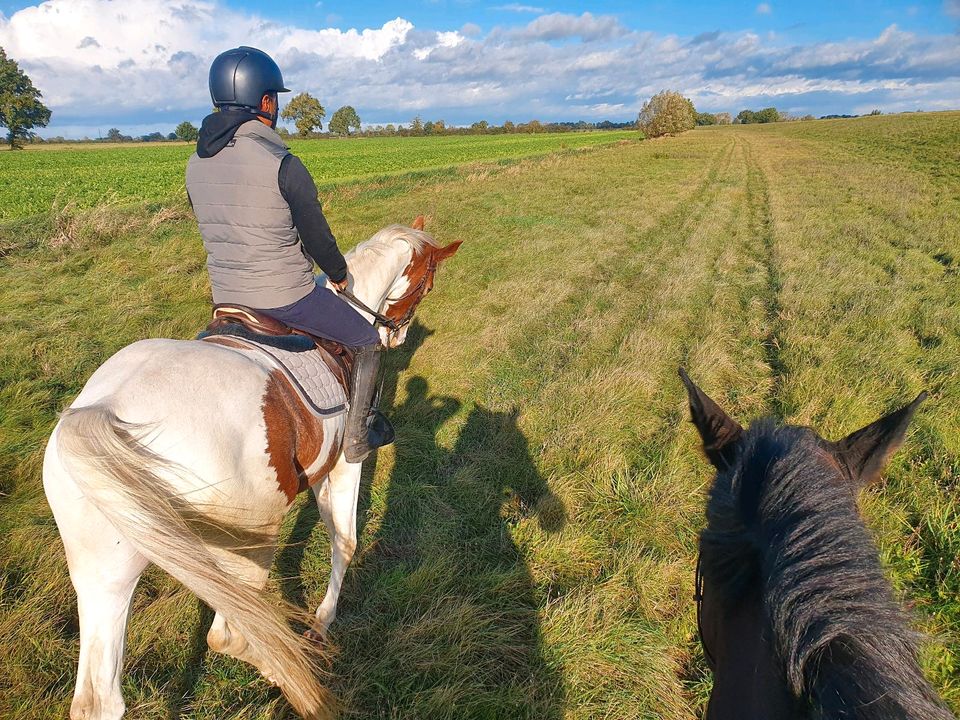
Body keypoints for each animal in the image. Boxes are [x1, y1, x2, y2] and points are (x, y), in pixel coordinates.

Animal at [44, 221, 462, 720]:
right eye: (427, 284)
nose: (396, 335)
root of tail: (102, 411)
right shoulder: (344, 463)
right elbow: (345, 541)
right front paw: (322, 623)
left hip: (104, 574)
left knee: (99, 697)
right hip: (248, 545)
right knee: (229, 634)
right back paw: (293, 674)